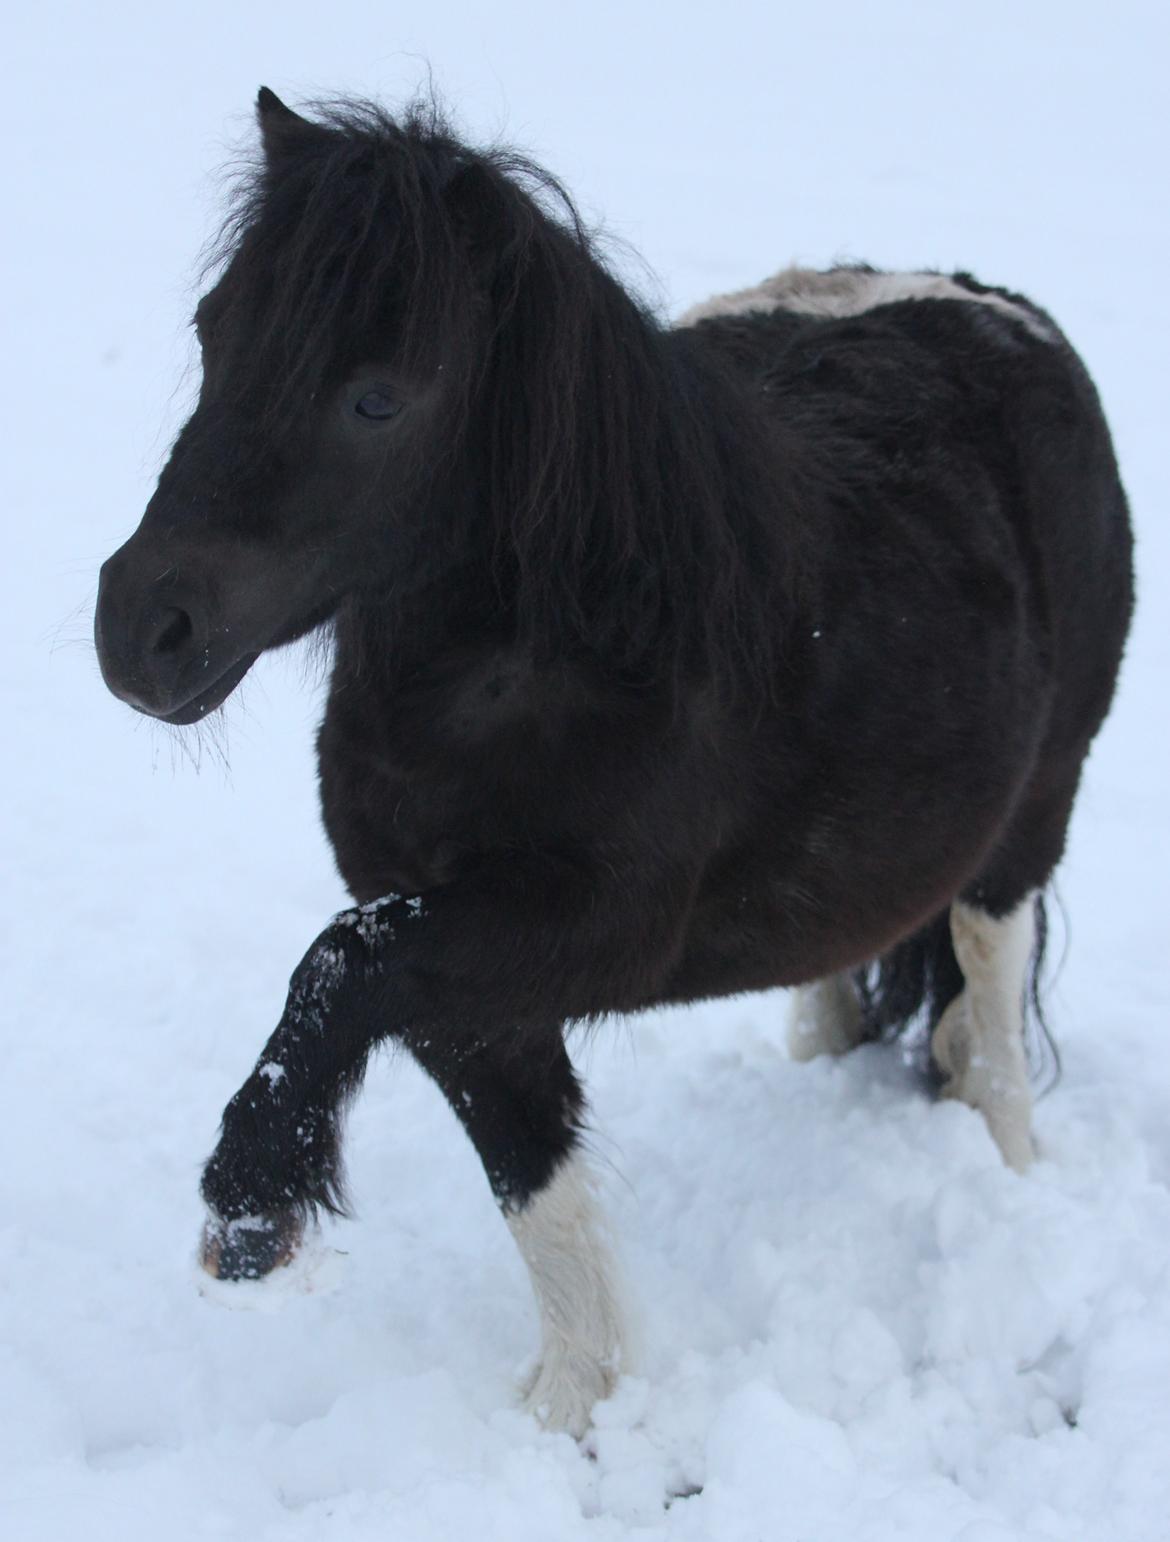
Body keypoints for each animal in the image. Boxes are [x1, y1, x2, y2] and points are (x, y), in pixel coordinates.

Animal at [93, 90, 1134, 1437]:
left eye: (378, 399)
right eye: (212, 329)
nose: (140, 631)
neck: (571, 648)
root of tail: (994, 309)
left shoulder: (597, 929)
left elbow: (339, 966)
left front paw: (253, 1209)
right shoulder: (462, 961)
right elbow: (531, 1178)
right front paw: (575, 1412)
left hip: (1027, 826)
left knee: (991, 1019)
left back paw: (1000, 1176)